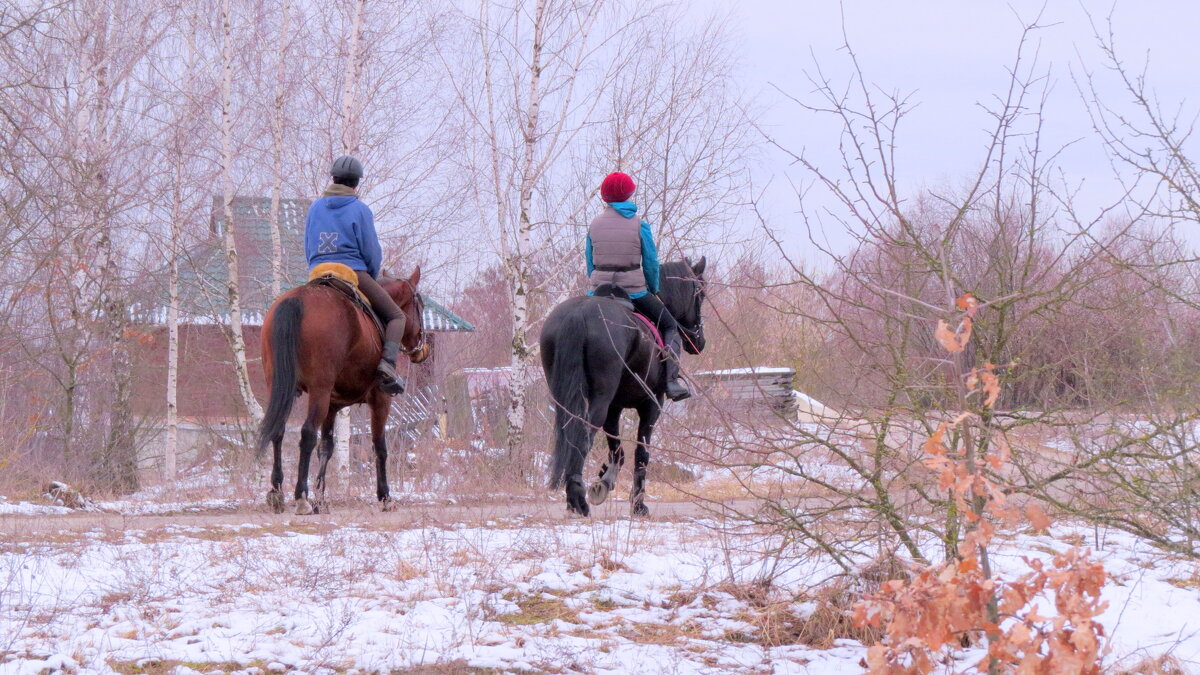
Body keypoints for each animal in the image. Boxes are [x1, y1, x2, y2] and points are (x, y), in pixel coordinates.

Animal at [255, 265, 429, 511]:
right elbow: (380, 447)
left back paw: (277, 491)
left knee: (278, 430)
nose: (422, 348)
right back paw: (301, 496)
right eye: (419, 305)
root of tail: (297, 300)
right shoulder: (380, 400)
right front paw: (384, 496)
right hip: (319, 390)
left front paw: (320, 497)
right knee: (307, 433)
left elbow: (326, 447)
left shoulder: (332, 404)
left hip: (281, 387)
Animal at [542, 257, 705, 514]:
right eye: (701, 293)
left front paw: (604, 480)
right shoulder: (651, 405)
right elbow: (641, 453)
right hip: (602, 399)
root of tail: (578, 313)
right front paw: (637, 504)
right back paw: (577, 498)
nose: (699, 341)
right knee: (584, 435)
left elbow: (617, 451)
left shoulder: (614, 408)